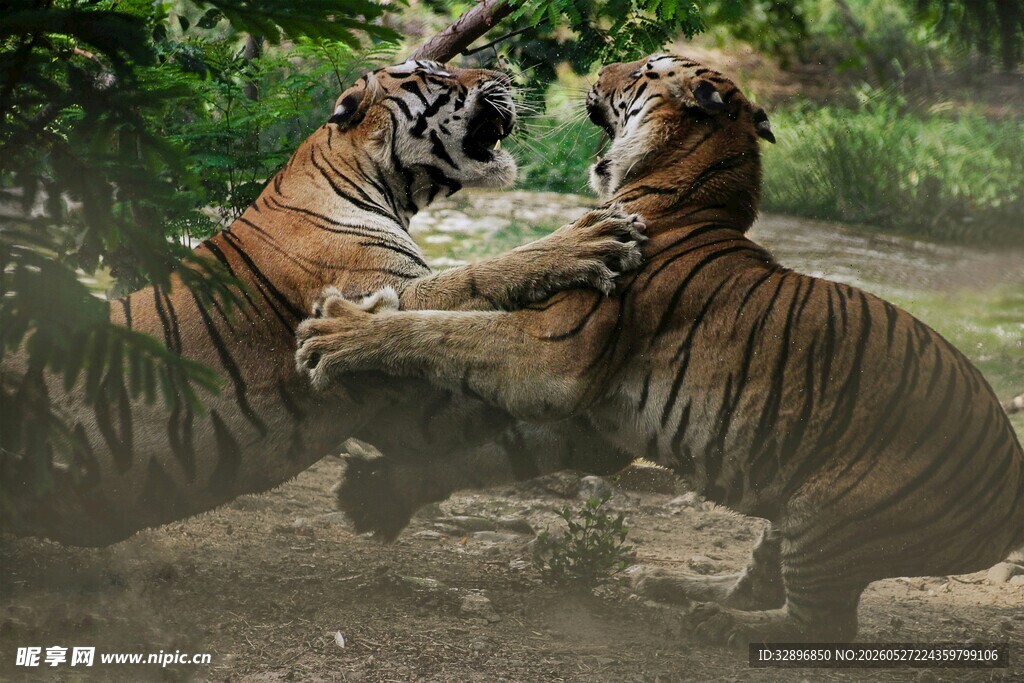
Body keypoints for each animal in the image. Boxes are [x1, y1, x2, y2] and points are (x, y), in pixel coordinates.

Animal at [0, 59, 647, 547]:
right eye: (435, 72)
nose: (506, 73)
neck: (378, 183)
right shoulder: (386, 298)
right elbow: (476, 280)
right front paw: (590, 238)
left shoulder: (411, 412)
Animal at [295, 54, 1024, 644]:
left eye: (644, 69)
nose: (598, 70)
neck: (682, 190)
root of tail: (1010, 482)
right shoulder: (595, 421)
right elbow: (491, 451)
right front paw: (380, 494)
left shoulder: (555, 357)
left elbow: (440, 327)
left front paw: (339, 333)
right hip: (790, 514)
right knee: (761, 580)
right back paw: (669, 584)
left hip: (831, 517)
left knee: (823, 623)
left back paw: (717, 623)